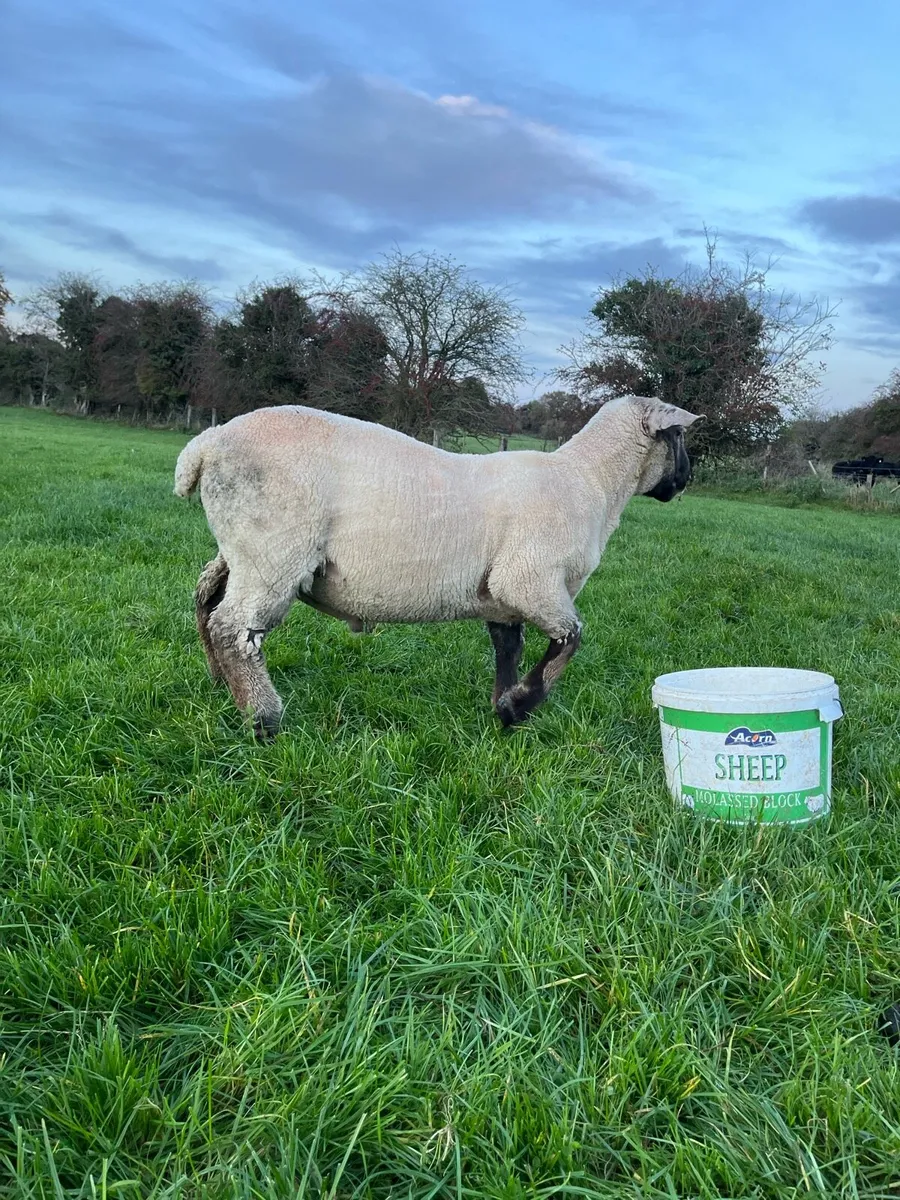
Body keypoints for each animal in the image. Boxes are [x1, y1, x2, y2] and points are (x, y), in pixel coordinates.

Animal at [174, 394, 700, 737]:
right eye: (678, 436)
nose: (687, 479)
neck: (590, 482)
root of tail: (207, 444)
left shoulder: (502, 597)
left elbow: (508, 647)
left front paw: (503, 707)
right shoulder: (529, 578)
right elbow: (570, 639)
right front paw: (519, 707)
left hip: (240, 547)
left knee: (206, 597)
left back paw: (221, 684)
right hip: (274, 549)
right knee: (234, 628)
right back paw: (263, 718)